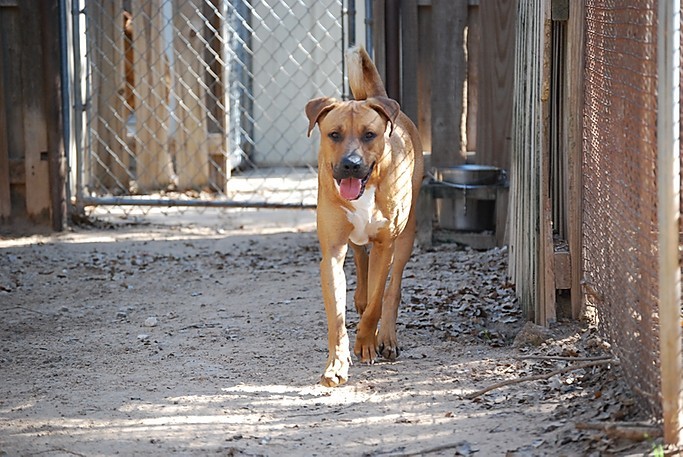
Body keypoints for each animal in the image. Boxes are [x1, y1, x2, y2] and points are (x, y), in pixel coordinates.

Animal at [304, 45, 422, 384]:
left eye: (370, 135)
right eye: (334, 134)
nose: (351, 164)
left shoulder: (386, 244)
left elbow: (376, 303)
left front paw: (367, 343)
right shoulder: (332, 251)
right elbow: (336, 317)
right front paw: (336, 364)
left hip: (407, 233)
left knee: (391, 290)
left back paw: (387, 336)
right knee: (359, 255)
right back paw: (359, 295)